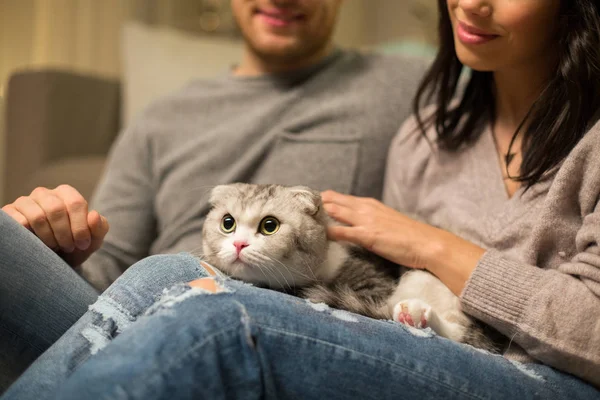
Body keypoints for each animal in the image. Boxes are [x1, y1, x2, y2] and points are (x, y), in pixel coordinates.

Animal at [200, 183, 496, 352]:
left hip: (422, 277)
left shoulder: (374, 281)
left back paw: (415, 315)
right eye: (228, 223)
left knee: (458, 334)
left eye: (269, 226)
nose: (239, 244)